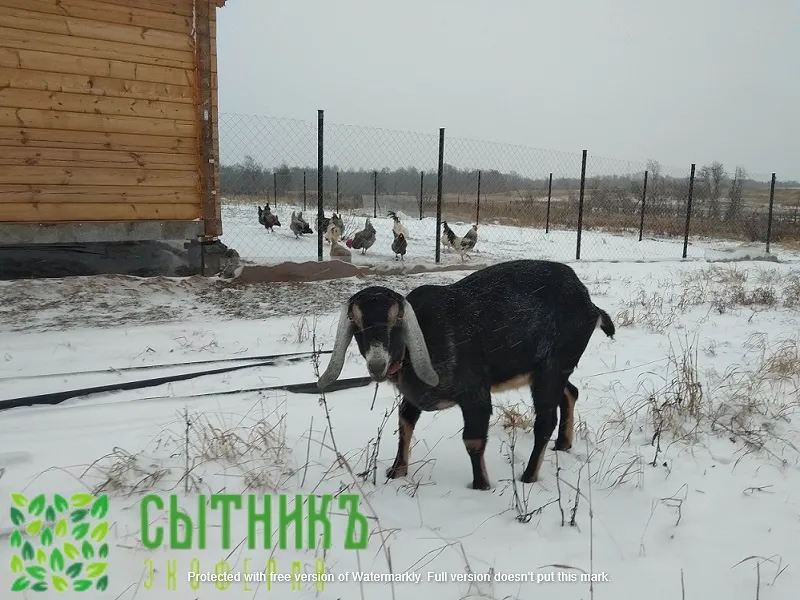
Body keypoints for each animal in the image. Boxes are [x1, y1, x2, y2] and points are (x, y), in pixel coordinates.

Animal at [317, 259, 615, 490]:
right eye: (356, 322)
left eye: (396, 320)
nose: (377, 364)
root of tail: (591, 306)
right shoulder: (412, 398)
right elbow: (404, 423)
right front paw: (396, 472)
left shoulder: (475, 394)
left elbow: (472, 440)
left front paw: (481, 485)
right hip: (549, 370)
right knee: (570, 392)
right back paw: (564, 444)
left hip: (551, 369)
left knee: (545, 421)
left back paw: (529, 476)